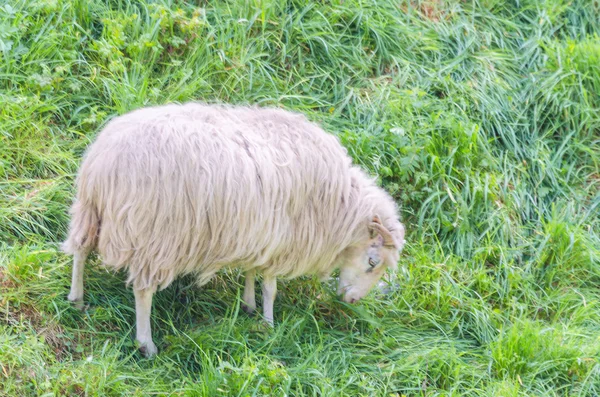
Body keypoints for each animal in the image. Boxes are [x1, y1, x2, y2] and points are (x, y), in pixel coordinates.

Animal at [62, 103, 408, 356]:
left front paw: (249, 306)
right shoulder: (282, 240)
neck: (341, 205)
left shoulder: (260, 234)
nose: (352, 301)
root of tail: (105, 162)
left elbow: (251, 271)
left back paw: (76, 299)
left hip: (89, 210)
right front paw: (269, 323)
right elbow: (270, 287)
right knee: (142, 291)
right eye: (372, 262)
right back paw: (146, 344)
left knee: (80, 249)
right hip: (155, 236)